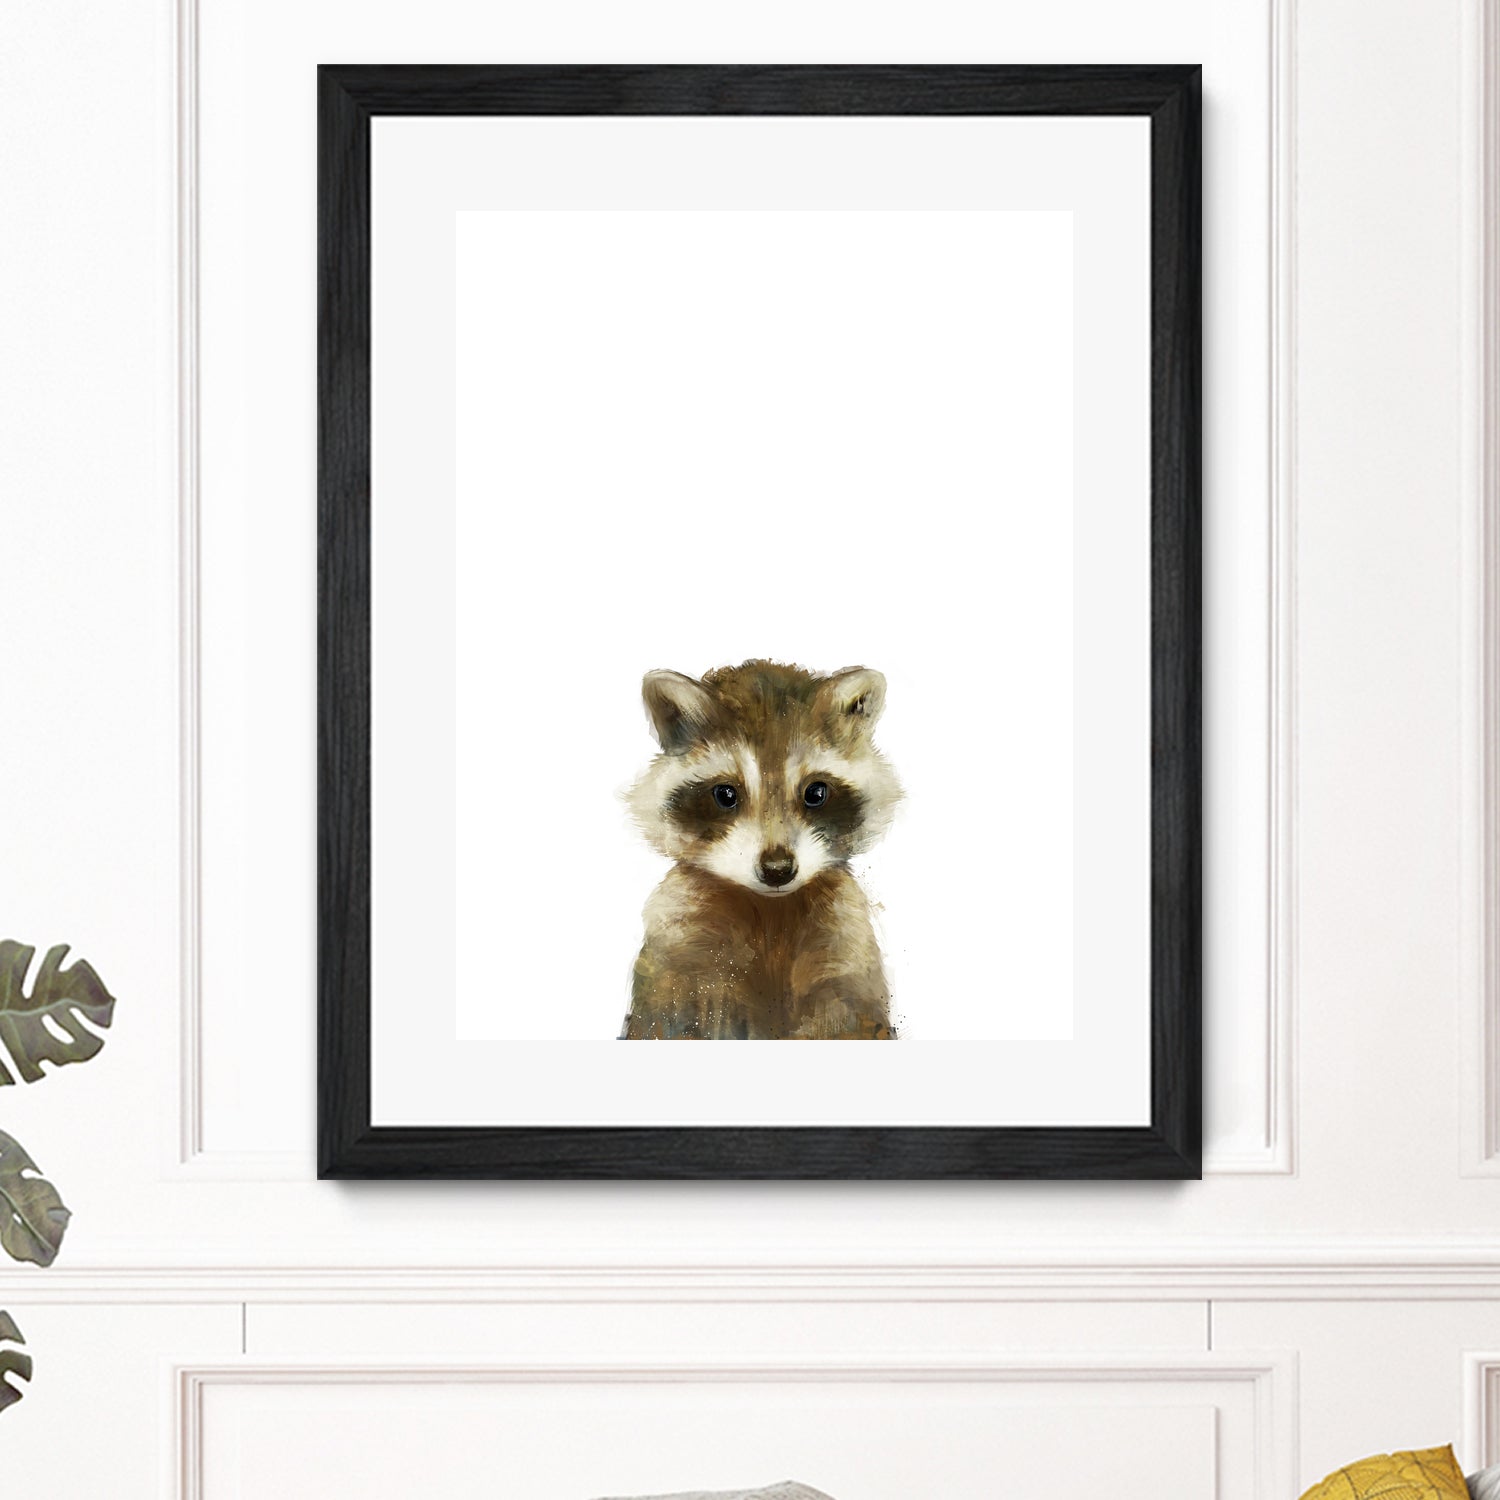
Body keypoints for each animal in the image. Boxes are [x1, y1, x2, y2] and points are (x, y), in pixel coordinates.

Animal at [621, 660, 902, 1040]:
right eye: (726, 794)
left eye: (816, 793)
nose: (777, 869)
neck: (771, 910)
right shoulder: (680, 947)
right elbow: (671, 1017)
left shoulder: (845, 944)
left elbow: (849, 1017)